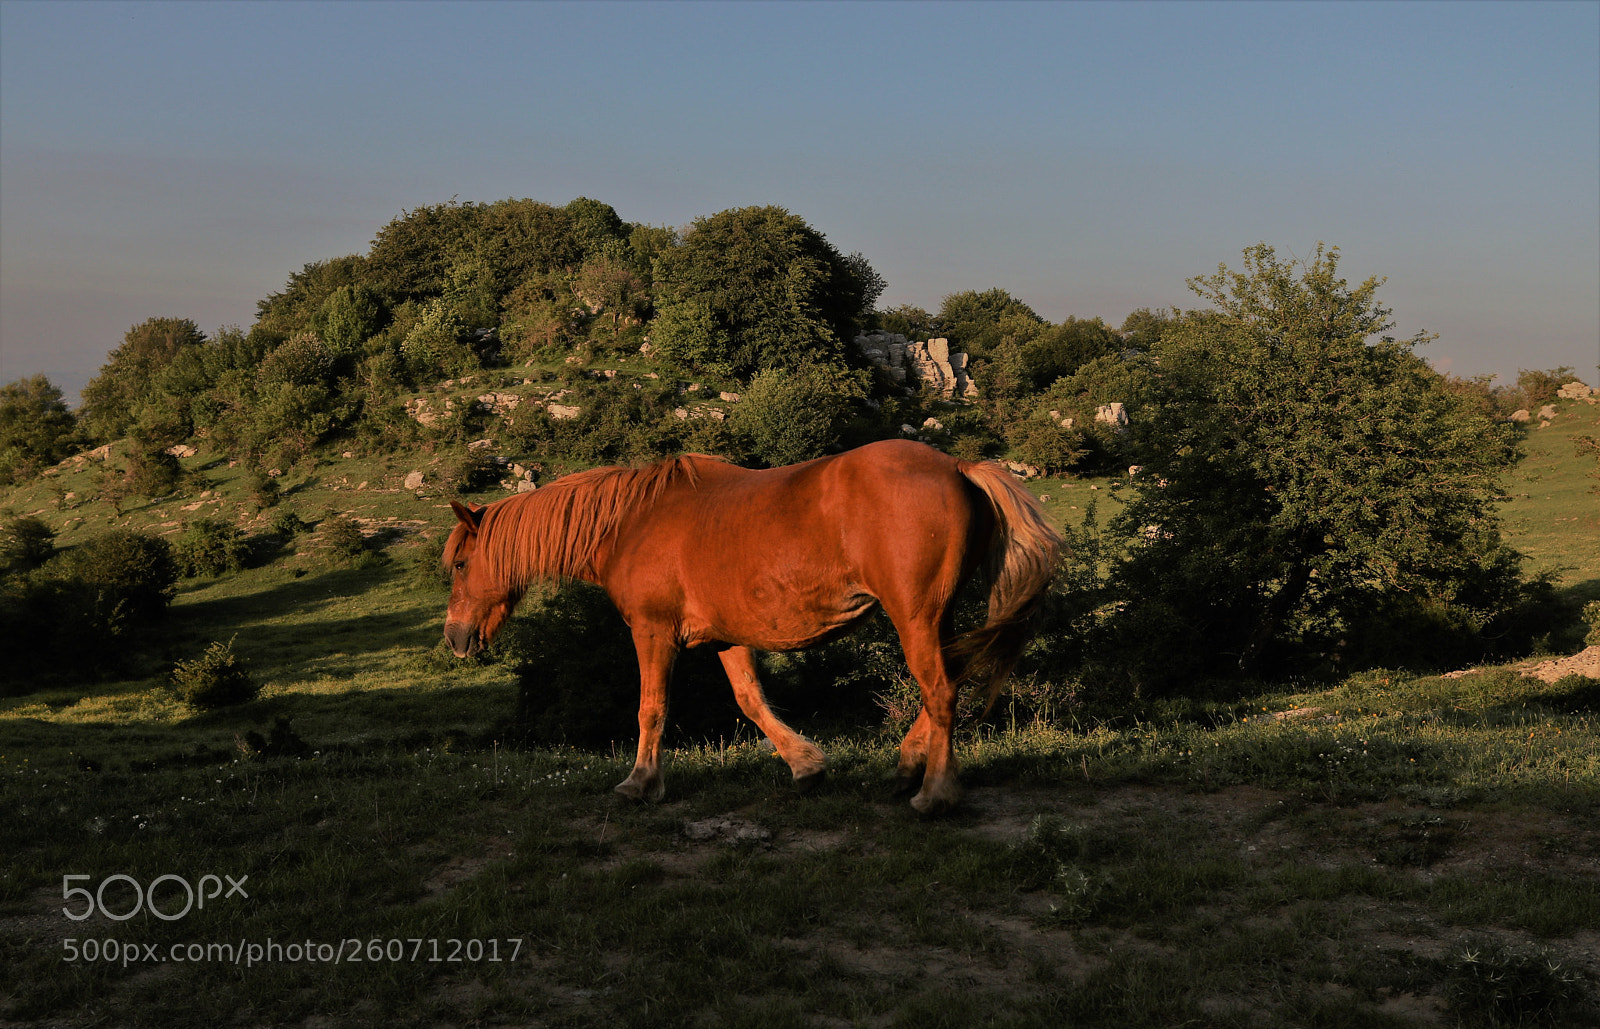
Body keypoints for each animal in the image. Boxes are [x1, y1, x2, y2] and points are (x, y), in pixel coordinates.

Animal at [441, 438, 1059, 814]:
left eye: (461, 564)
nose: (455, 638)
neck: (630, 524)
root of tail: (956, 467)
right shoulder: (726, 639)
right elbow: (751, 701)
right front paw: (806, 766)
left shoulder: (652, 633)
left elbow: (651, 708)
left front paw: (640, 782)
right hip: (937, 616)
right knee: (948, 682)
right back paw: (908, 766)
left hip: (914, 617)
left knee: (941, 691)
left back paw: (935, 792)